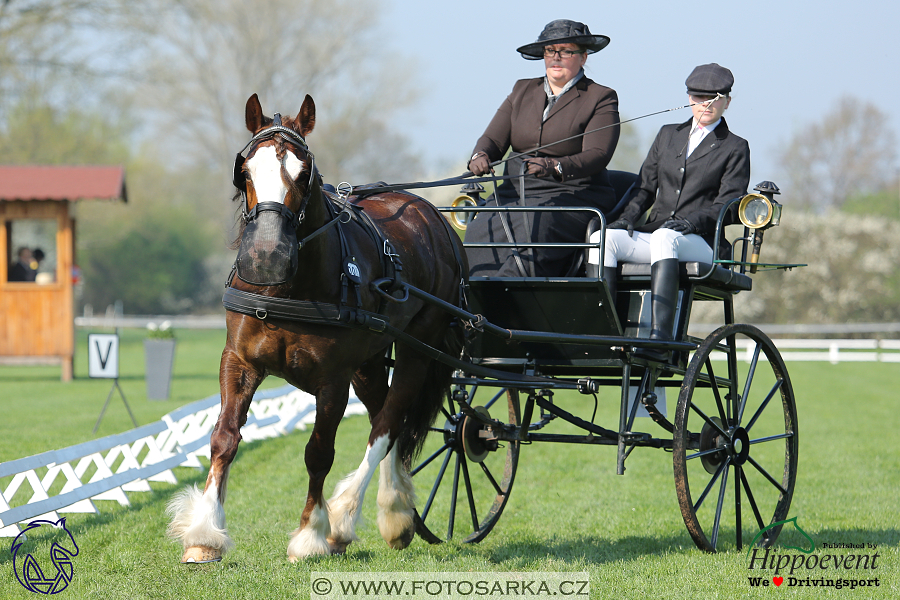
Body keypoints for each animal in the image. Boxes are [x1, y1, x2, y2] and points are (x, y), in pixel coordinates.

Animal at [165, 92, 468, 564]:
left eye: (303, 173)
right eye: (245, 170)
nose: (266, 256)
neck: (289, 288)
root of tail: (432, 216)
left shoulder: (333, 380)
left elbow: (318, 453)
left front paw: (310, 534)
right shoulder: (239, 362)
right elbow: (224, 438)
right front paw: (204, 534)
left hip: (418, 349)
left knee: (388, 423)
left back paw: (357, 517)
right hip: (370, 361)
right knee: (385, 415)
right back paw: (394, 511)